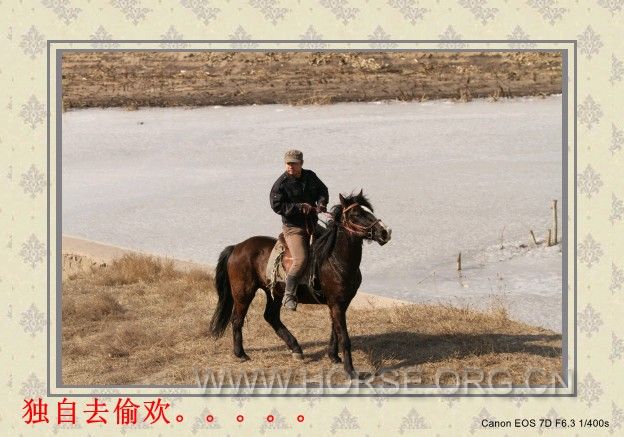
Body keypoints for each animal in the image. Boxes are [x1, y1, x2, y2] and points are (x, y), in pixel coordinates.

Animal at [208, 190, 392, 379]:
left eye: (368, 210)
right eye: (356, 214)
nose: (385, 232)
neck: (335, 260)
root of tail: (237, 247)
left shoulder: (340, 303)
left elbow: (335, 330)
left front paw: (333, 356)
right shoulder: (337, 303)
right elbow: (344, 337)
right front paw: (350, 370)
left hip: (275, 292)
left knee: (271, 317)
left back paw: (296, 348)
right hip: (243, 292)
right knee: (237, 319)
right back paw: (241, 354)